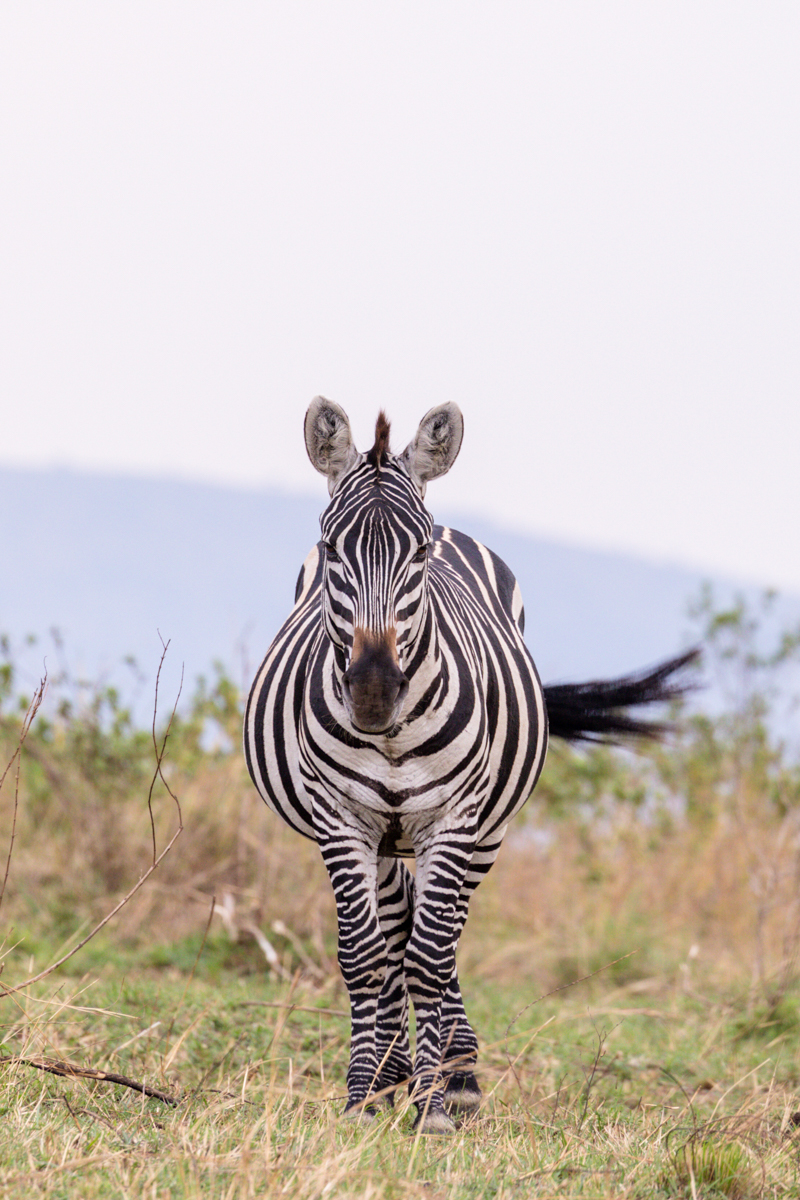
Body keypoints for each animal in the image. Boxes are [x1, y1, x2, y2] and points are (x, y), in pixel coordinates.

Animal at [242, 396, 695, 1132]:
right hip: (385, 835)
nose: (373, 691)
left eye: (419, 552)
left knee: (442, 935)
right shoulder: (341, 822)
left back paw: (454, 1075)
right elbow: (366, 956)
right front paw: (363, 1097)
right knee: (398, 930)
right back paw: (396, 1073)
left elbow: (431, 955)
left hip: (486, 830)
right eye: (332, 547)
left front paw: (435, 1106)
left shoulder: (454, 820)